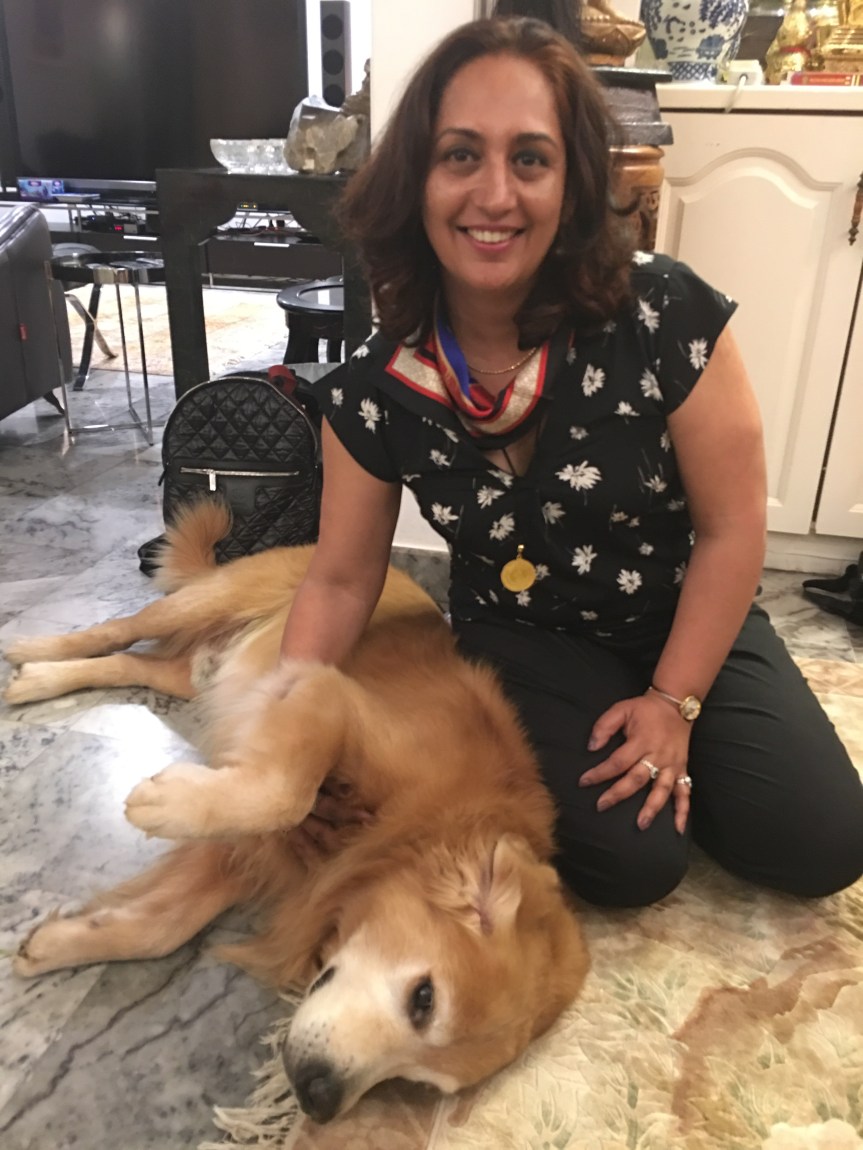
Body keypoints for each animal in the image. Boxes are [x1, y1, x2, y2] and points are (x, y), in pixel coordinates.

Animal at [4, 502, 588, 1124]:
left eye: (422, 1084)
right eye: (425, 999)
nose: (318, 1099)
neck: (414, 829)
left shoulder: (272, 857)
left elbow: (165, 926)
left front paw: (60, 942)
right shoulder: (325, 696)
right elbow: (286, 794)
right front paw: (165, 803)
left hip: (191, 674)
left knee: (131, 664)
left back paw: (43, 679)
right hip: (209, 600)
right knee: (116, 629)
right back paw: (32, 654)